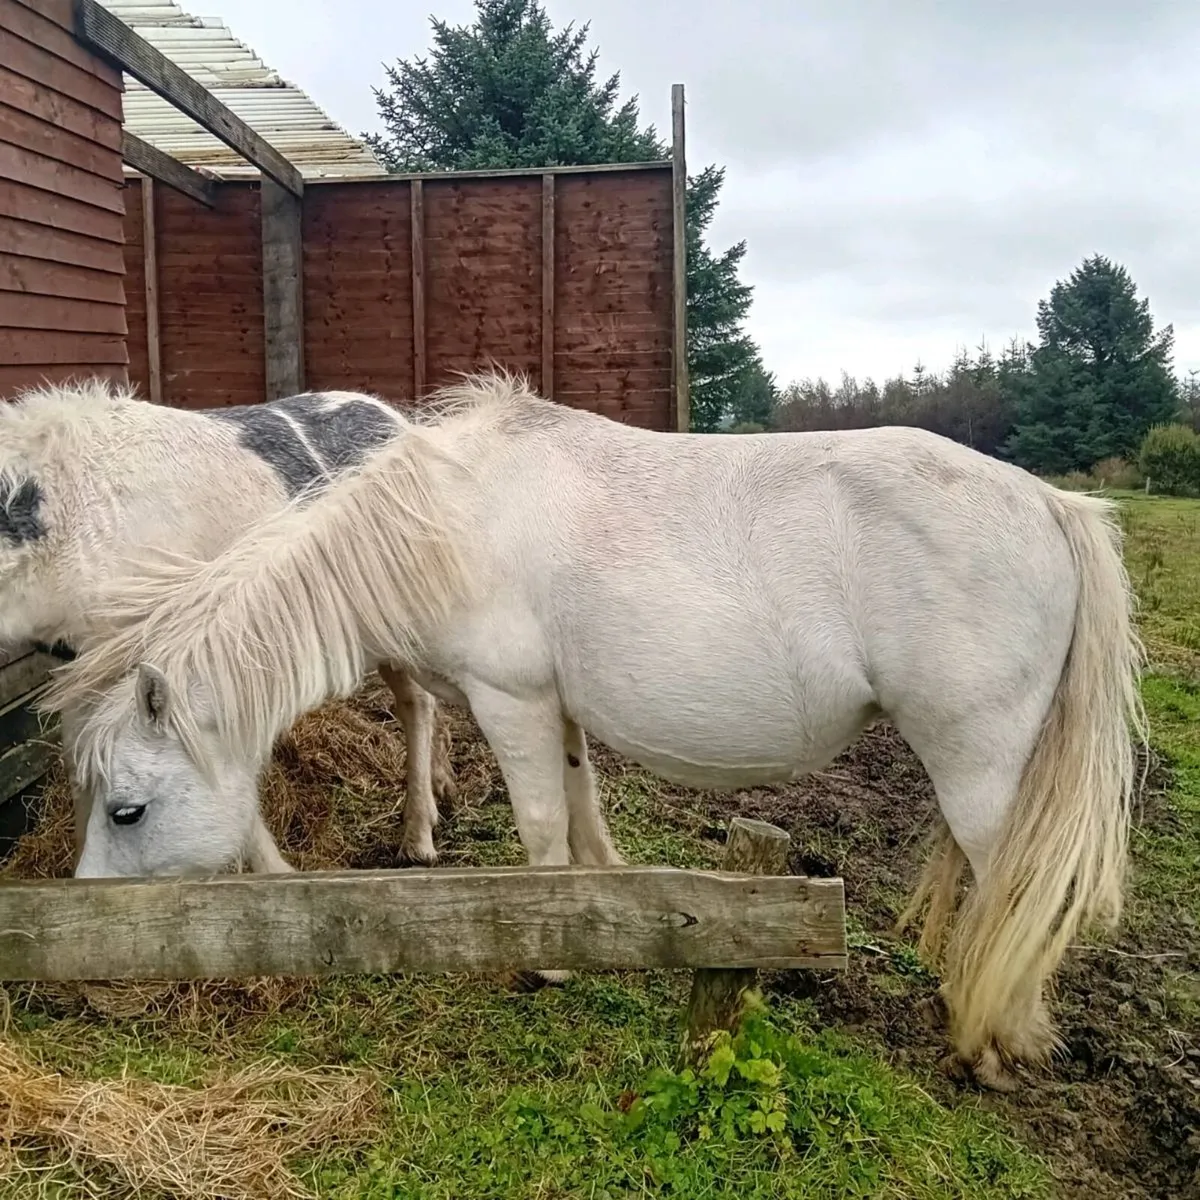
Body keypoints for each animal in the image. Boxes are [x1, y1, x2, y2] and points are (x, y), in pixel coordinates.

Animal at [0, 378, 458, 869]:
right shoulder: (77, 664)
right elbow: (82, 761)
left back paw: (418, 843)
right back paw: (443, 787)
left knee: (417, 702)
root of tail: (398, 419)